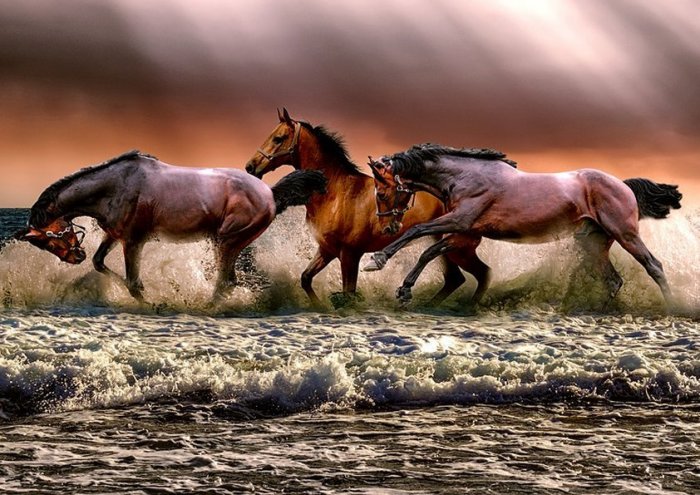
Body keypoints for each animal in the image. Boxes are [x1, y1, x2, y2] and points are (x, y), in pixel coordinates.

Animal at [15, 150, 327, 302]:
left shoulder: (134, 241)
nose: (74, 257)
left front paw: (153, 303)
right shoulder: (114, 235)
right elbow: (100, 263)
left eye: (50, 236)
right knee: (228, 282)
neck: (115, 187)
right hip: (228, 244)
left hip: (227, 241)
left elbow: (133, 283)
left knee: (225, 282)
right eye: (43, 244)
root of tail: (270, 194)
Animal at [245, 108, 487, 306]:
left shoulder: (350, 255)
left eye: (278, 138)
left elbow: (348, 294)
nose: (250, 167)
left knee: (478, 275)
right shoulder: (326, 250)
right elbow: (306, 279)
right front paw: (320, 306)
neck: (336, 194)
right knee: (456, 279)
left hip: (458, 249)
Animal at [364, 143, 682, 308]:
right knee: (613, 279)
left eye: (381, 193)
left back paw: (673, 306)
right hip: (593, 243)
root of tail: (623, 185)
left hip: (625, 234)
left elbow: (417, 232)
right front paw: (404, 290)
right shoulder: (464, 233)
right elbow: (428, 252)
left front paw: (377, 260)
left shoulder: (460, 221)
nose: (387, 227)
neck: (465, 177)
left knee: (654, 266)